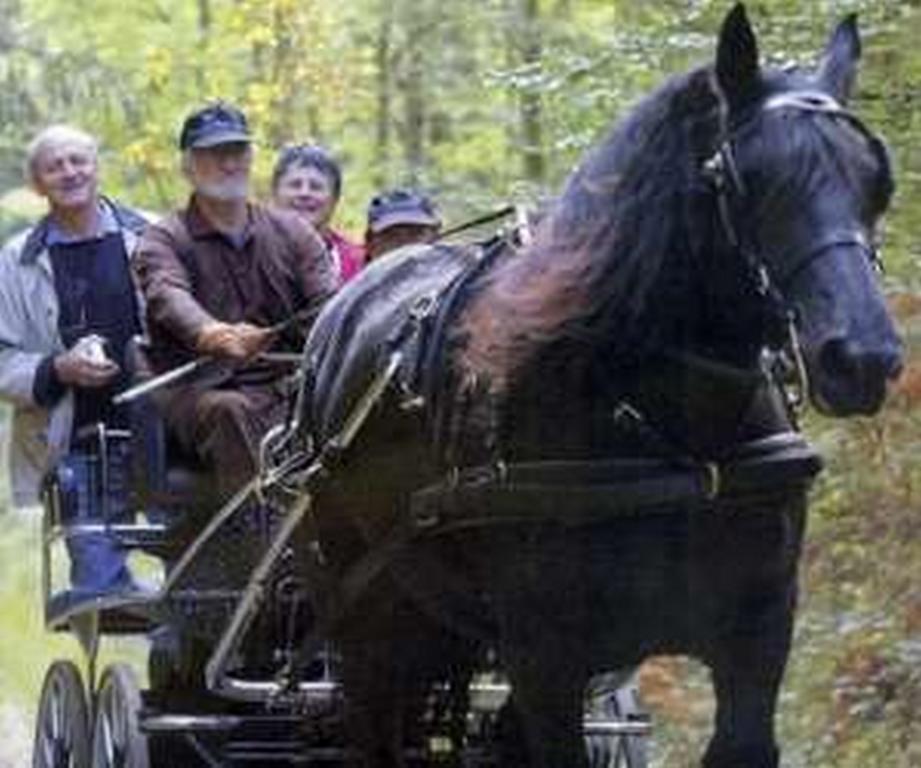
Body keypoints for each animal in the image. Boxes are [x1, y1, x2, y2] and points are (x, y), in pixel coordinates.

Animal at [300, 7, 900, 768]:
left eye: (874, 182)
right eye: (754, 181)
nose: (863, 355)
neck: (675, 438)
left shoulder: (756, 636)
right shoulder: (544, 654)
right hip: (364, 615)